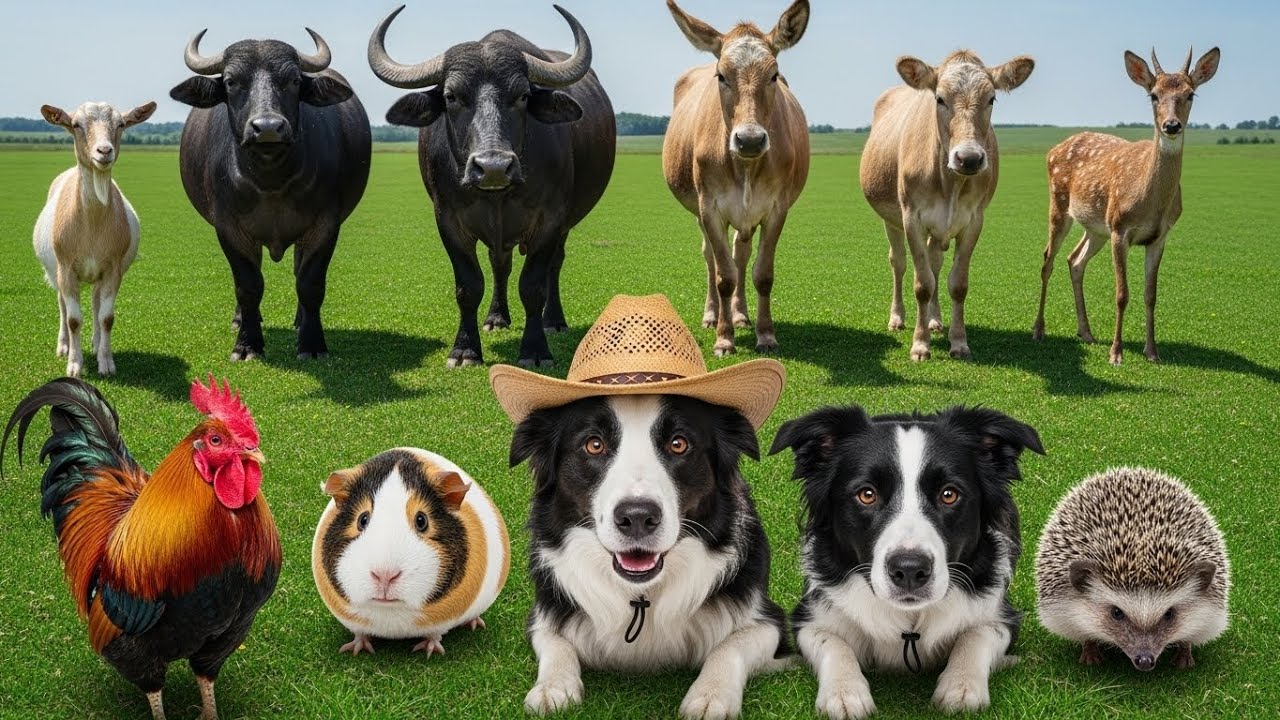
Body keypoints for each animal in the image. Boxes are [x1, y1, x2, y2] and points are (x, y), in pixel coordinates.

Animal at [33, 101, 156, 377]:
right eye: (76, 124)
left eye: (121, 124)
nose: (104, 151)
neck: (91, 229)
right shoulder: (66, 267)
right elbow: (73, 319)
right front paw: (74, 365)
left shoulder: (112, 268)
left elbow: (106, 317)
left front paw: (106, 363)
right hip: (55, 270)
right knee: (62, 303)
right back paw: (64, 346)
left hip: (97, 275)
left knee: (96, 302)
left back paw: (97, 342)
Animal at [170, 29, 371, 361]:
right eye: (230, 81)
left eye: (293, 80)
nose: (267, 128)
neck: (270, 180)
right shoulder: (228, 229)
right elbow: (248, 285)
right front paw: (247, 344)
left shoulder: (326, 226)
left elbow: (309, 283)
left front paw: (312, 344)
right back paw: (241, 319)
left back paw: (300, 321)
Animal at [369, 4, 616, 369]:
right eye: (451, 96)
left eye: (523, 95)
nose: (494, 167)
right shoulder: (447, 219)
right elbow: (468, 286)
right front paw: (465, 349)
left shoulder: (550, 218)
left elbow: (533, 286)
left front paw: (535, 350)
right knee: (500, 264)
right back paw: (497, 317)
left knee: (554, 265)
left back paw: (553, 320)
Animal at [662, 0, 811, 357]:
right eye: (721, 75)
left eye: (774, 75)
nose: (750, 139)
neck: (745, 167)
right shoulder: (710, 207)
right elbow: (723, 276)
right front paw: (723, 338)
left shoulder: (776, 208)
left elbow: (762, 273)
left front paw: (765, 334)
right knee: (711, 258)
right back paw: (713, 314)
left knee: (740, 253)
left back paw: (741, 314)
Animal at [860, 50, 1034, 361]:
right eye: (939, 99)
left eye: (992, 99)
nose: (969, 158)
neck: (950, 183)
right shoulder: (912, 218)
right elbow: (922, 284)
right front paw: (920, 345)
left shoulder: (974, 220)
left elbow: (957, 284)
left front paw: (959, 342)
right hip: (890, 219)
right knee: (899, 263)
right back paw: (898, 317)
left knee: (935, 264)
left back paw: (935, 319)